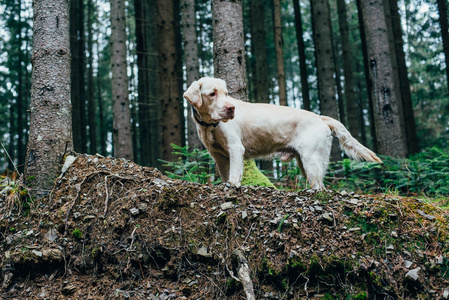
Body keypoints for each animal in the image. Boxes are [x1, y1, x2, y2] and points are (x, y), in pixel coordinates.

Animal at [183, 77, 382, 190]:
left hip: (312, 160)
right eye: (212, 93)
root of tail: (320, 117)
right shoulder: (218, 155)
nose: (231, 109)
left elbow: (234, 174)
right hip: (304, 162)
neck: (210, 125)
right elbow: (225, 174)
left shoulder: (235, 148)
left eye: (226, 93)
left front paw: (234, 185)